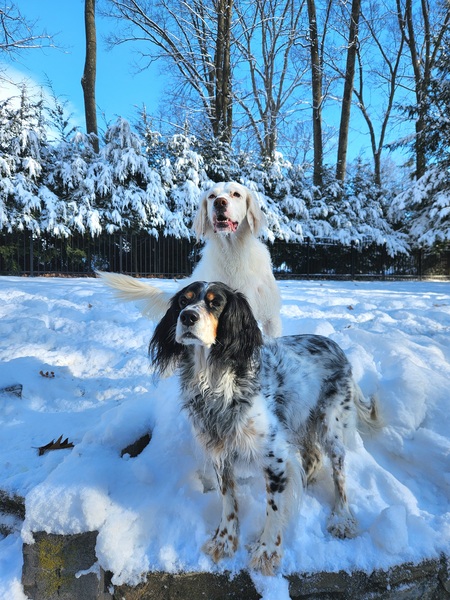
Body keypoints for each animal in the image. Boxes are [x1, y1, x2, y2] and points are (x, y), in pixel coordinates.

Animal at [150, 282, 380, 576]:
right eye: (183, 301)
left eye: (215, 303)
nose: (187, 316)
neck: (214, 381)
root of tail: (336, 346)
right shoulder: (219, 452)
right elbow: (228, 499)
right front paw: (225, 540)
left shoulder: (275, 456)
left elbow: (274, 506)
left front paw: (267, 551)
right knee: (313, 458)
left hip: (332, 427)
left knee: (339, 474)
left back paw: (341, 517)